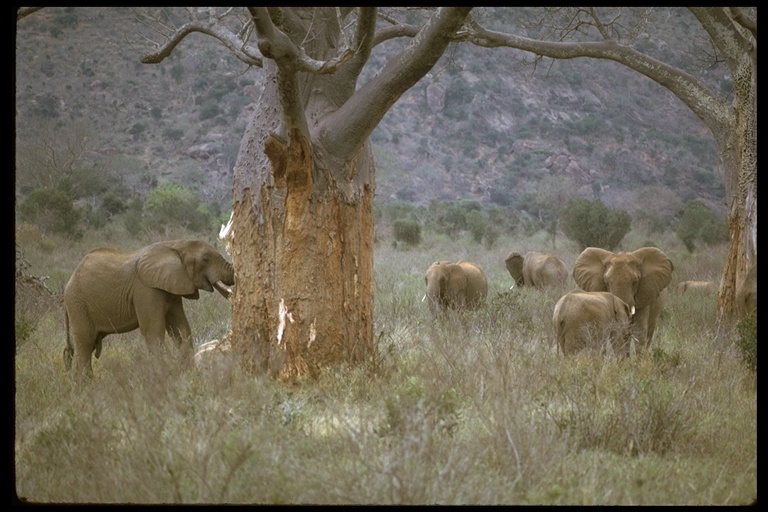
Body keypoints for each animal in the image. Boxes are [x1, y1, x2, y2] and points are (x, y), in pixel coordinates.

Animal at [63, 239, 234, 376]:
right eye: (205, 259)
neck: (175, 245)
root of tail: (67, 285)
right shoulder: (145, 290)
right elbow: (154, 331)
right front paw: (161, 376)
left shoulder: (172, 287)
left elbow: (181, 328)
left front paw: (188, 372)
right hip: (77, 303)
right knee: (85, 343)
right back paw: (87, 383)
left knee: (88, 345)